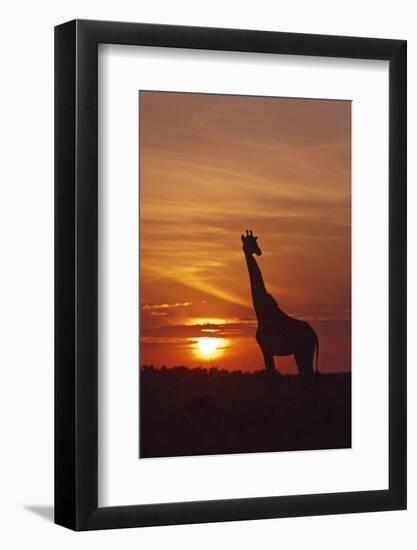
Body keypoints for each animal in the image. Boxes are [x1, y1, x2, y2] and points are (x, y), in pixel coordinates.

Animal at [240, 230, 318, 380]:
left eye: (255, 242)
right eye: (248, 243)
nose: (258, 251)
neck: (260, 312)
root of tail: (314, 334)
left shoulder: (266, 349)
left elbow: (271, 375)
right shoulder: (266, 350)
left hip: (304, 351)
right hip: (301, 353)